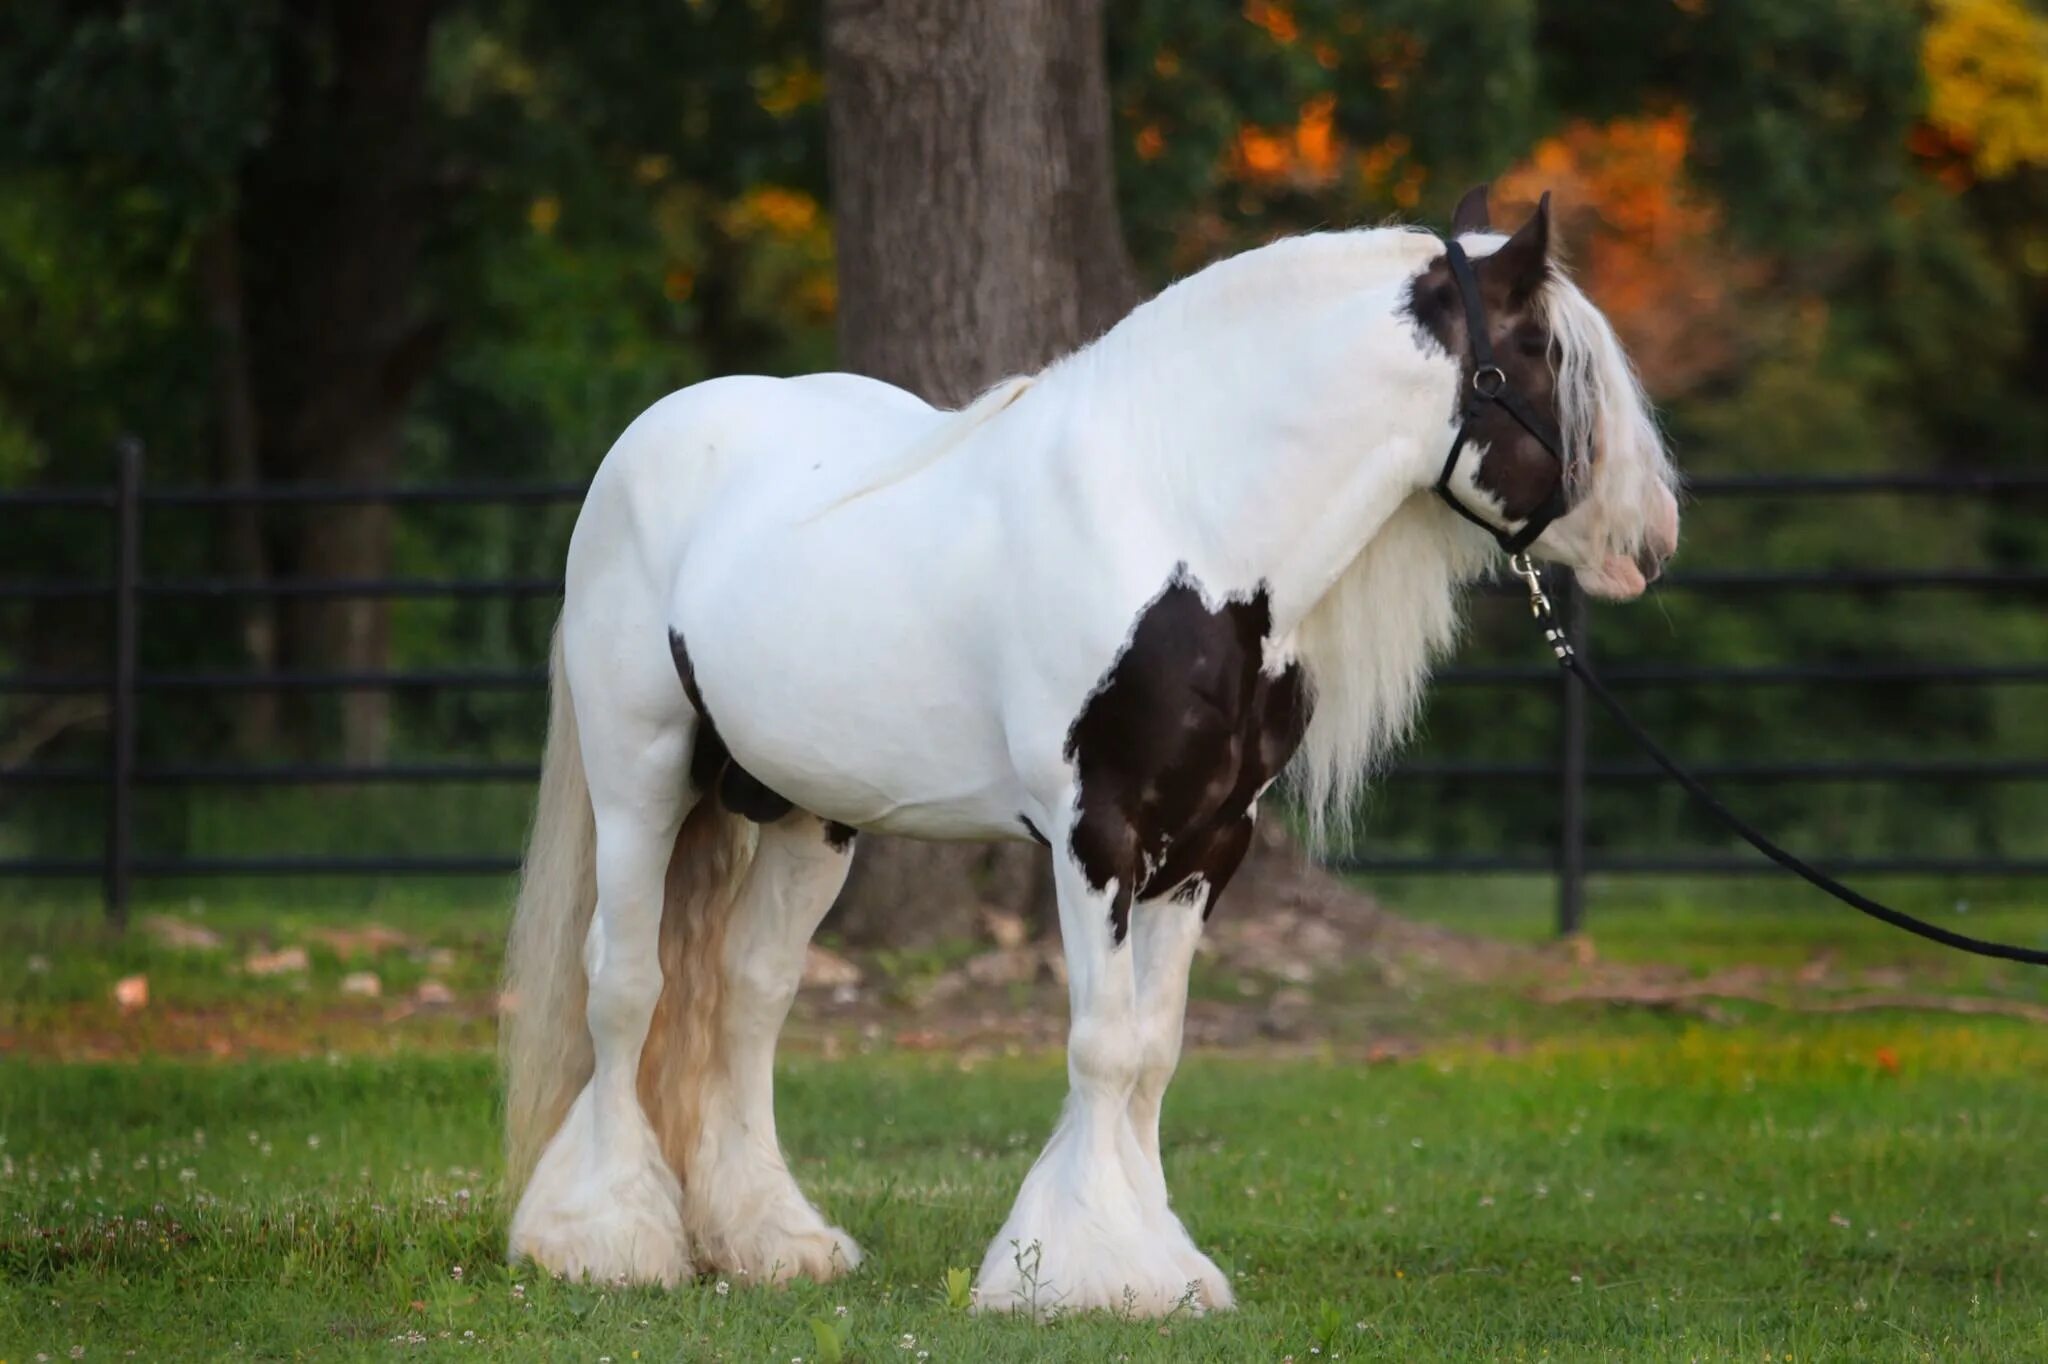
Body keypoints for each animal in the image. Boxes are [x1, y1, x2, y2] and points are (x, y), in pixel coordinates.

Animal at [499, 186, 1679, 1310]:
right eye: (1546, 354)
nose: (1649, 543)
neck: (1180, 526)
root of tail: (647, 443)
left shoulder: (1207, 846)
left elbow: (1151, 1053)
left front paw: (1153, 1260)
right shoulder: (1097, 838)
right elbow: (1102, 1045)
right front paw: (1091, 1269)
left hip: (803, 810)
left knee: (749, 997)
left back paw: (772, 1242)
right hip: (641, 777)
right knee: (626, 982)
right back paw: (605, 1239)